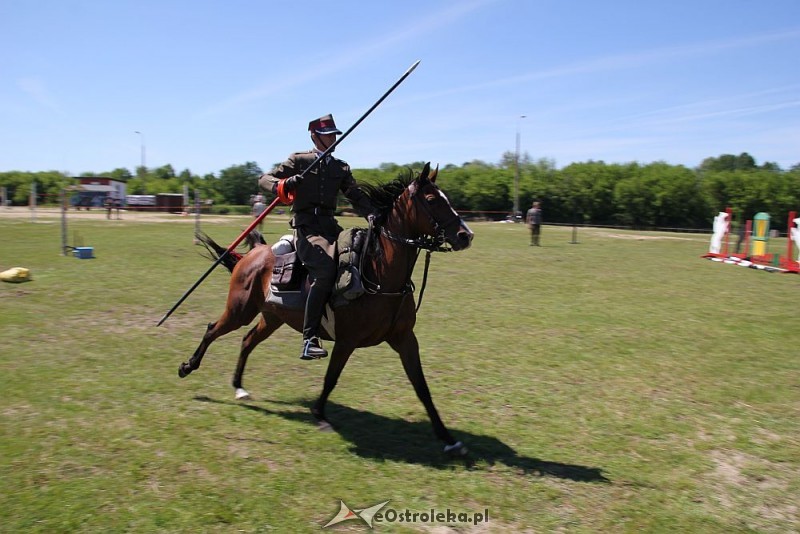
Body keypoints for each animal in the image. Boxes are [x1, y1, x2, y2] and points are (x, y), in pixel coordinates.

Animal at [178, 163, 472, 456]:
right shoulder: (346, 341)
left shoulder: (405, 339)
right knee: (212, 330)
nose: (465, 235)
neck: (378, 273)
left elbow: (421, 387)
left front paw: (447, 437)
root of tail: (256, 252)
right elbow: (331, 378)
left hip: (272, 317)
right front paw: (319, 415)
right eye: (432, 199)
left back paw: (239, 387)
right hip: (240, 311)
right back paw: (187, 367)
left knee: (247, 340)